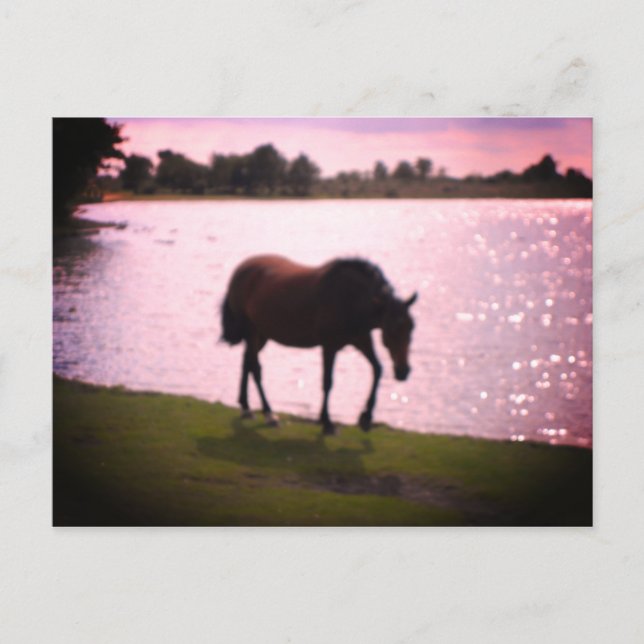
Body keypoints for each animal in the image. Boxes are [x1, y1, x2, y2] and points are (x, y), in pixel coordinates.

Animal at [220, 254, 417, 434]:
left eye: (411, 327)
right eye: (391, 329)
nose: (403, 371)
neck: (350, 299)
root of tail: (240, 270)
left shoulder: (361, 339)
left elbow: (377, 369)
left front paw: (366, 417)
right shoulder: (329, 346)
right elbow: (327, 382)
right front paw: (327, 422)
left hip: (261, 334)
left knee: (247, 362)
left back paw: (246, 407)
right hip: (251, 331)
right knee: (255, 368)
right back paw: (269, 414)